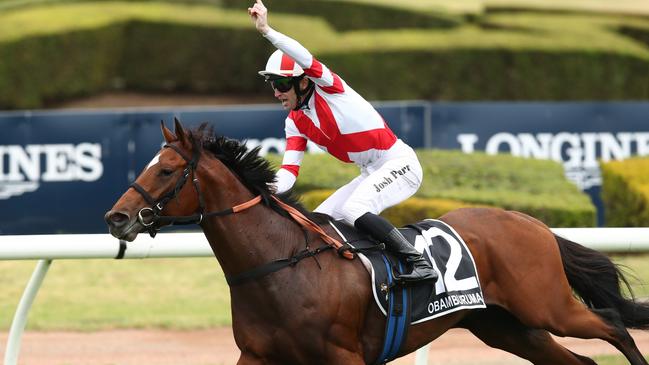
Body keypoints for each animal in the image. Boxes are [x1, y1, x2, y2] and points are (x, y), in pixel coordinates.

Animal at [104, 119, 644, 364]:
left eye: (167, 171)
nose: (116, 217)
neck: (281, 264)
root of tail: (529, 222)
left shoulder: (345, 356)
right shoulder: (258, 355)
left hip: (546, 306)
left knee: (613, 325)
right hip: (505, 326)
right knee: (579, 359)